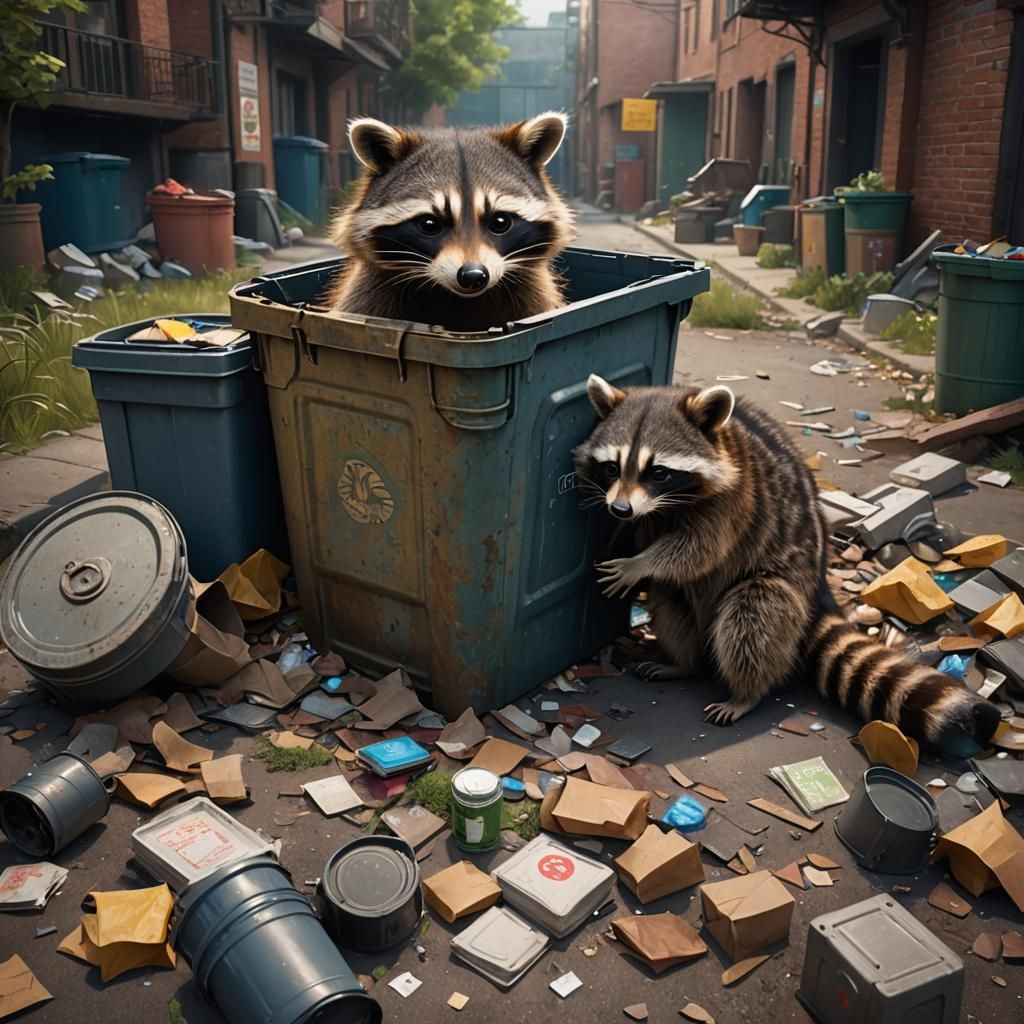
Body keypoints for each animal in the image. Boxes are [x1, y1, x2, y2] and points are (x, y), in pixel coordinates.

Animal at [326, 112, 574, 332]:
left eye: (500, 222)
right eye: (429, 224)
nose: (473, 277)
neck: (457, 298)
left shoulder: (532, 295)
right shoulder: (370, 294)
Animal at [573, 376, 1001, 756]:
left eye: (658, 472)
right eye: (612, 467)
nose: (620, 509)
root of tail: (820, 590)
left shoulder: (733, 501)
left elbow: (697, 550)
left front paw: (638, 563)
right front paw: (626, 540)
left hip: (778, 578)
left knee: (752, 616)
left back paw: (746, 693)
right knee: (670, 598)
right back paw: (685, 663)